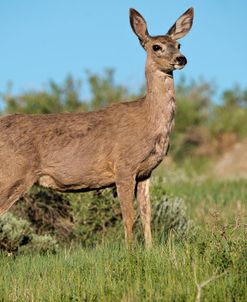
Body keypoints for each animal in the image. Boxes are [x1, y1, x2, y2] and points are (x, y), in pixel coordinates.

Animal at [0, 8, 193, 247]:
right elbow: (129, 216)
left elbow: (147, 213)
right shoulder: (124, 166)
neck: (148, 120)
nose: (181, 59)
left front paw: (150, 249)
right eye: (156, 46)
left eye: (179, 44)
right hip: (12, 173)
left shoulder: (146, 172)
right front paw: (130, 251)